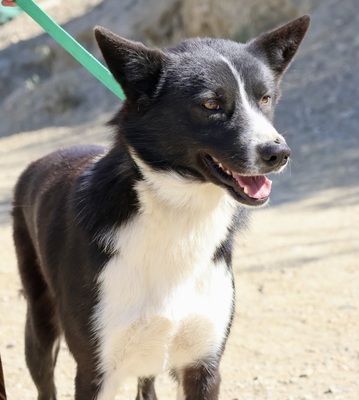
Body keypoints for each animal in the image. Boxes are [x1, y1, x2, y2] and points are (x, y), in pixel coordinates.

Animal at [11, 15, 310, 400]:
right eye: (210, 105)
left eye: (265, 98)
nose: (278, 153)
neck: (178, 213)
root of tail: (48, 156)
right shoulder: (95, 373)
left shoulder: (203, 367)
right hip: (41, 325)